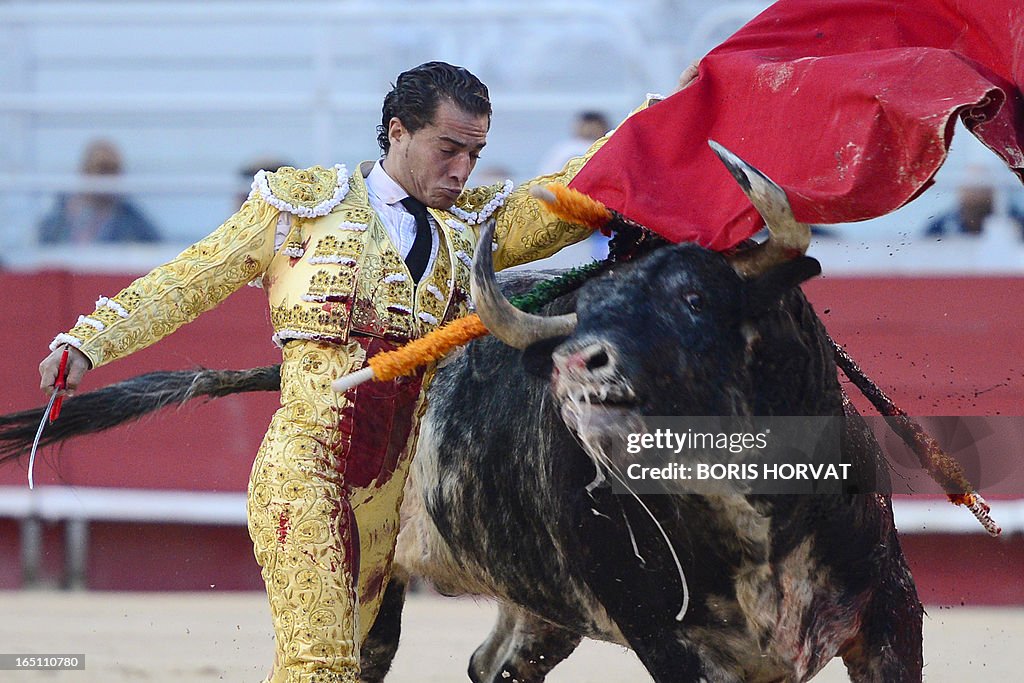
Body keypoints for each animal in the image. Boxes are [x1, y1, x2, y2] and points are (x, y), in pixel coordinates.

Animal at [0, 147, 925, 679]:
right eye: (587, 312)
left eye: (695, 295)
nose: (580, 364)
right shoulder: (670, 641)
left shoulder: (890, 612)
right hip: (371, 585)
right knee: (354, 652)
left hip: (539, 606)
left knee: (492, 663)